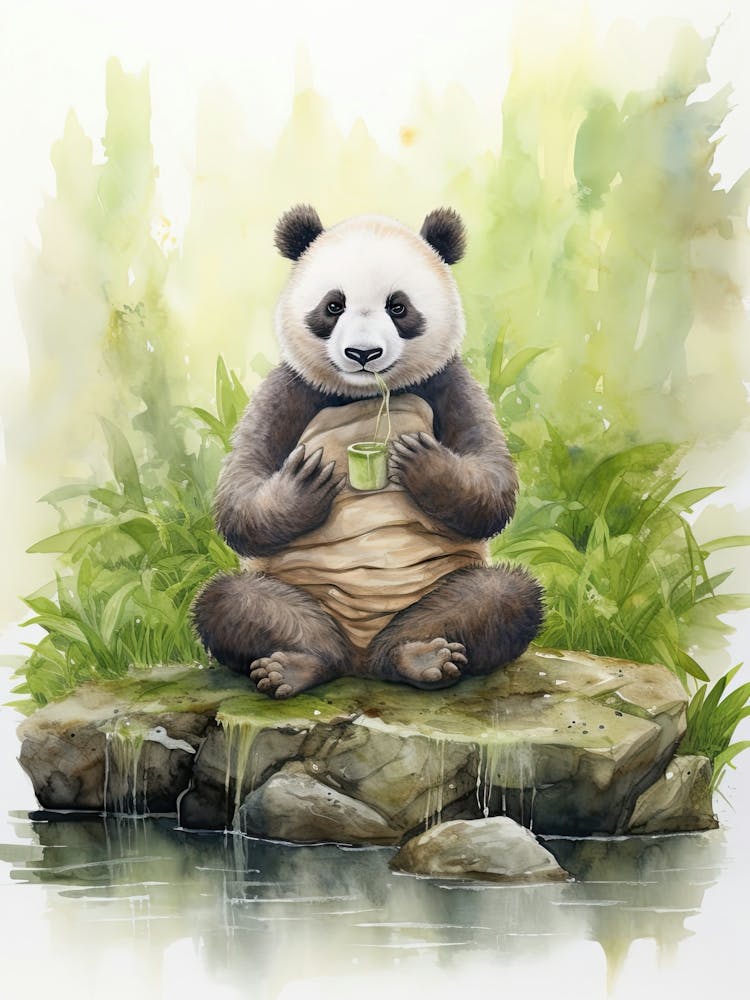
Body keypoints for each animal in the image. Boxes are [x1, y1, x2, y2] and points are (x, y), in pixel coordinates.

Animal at [192, 205, 543, 699]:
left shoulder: (449, 382)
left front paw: (421, 461)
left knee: (502, 597)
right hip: (295, 590)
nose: (363, 353)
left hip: (438, 588)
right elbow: (240, 489)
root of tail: (359, 658)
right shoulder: (289, 388)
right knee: (232, 602)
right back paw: (297, 664)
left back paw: (419, 657)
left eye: (398, 307)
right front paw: (305, 483)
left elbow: (492, 481)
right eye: (333, 305)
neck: (364, 393)